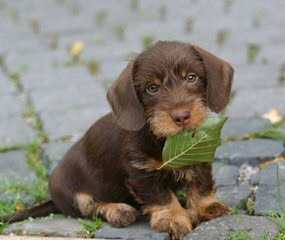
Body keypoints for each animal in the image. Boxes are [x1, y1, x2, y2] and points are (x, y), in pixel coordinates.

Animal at [4, 40, 233, 238]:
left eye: (191, 77)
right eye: (152, 88)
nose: (182, 116)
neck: (165, 140)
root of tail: (54, 200)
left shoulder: (199, 157)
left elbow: (201, 184)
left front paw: (206, 206)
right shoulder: (141, 173)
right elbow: (161, 196)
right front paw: (173, 218)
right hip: (70, 189)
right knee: (91, 207)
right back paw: (118, 211)